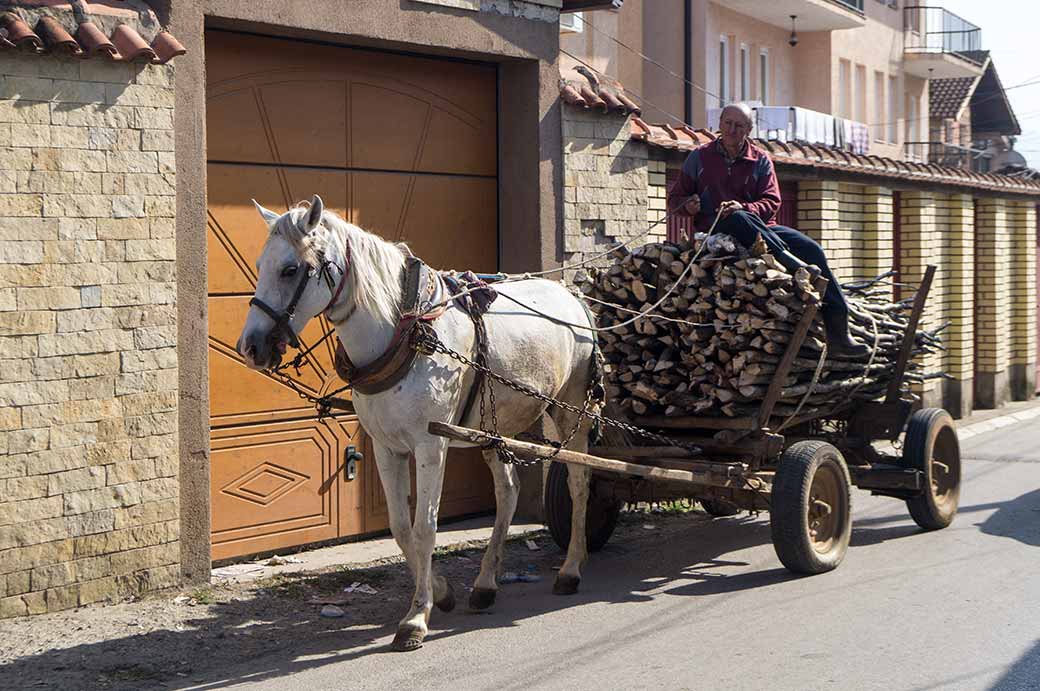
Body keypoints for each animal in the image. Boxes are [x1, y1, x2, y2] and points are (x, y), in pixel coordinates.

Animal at [232, 195, 599, 653]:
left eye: (290, 269)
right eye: (260, 263)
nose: (250, 347)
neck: (406, 333)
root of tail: (571, 293)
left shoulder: (430, 445)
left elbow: (425, 527)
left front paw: (416, 618)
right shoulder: (385, 447)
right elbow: (401, 528)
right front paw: (440, 592)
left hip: (570, 408)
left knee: (579, 483)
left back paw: (571, 568)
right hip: (494, 425)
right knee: (508, 491)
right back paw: (485, 583)